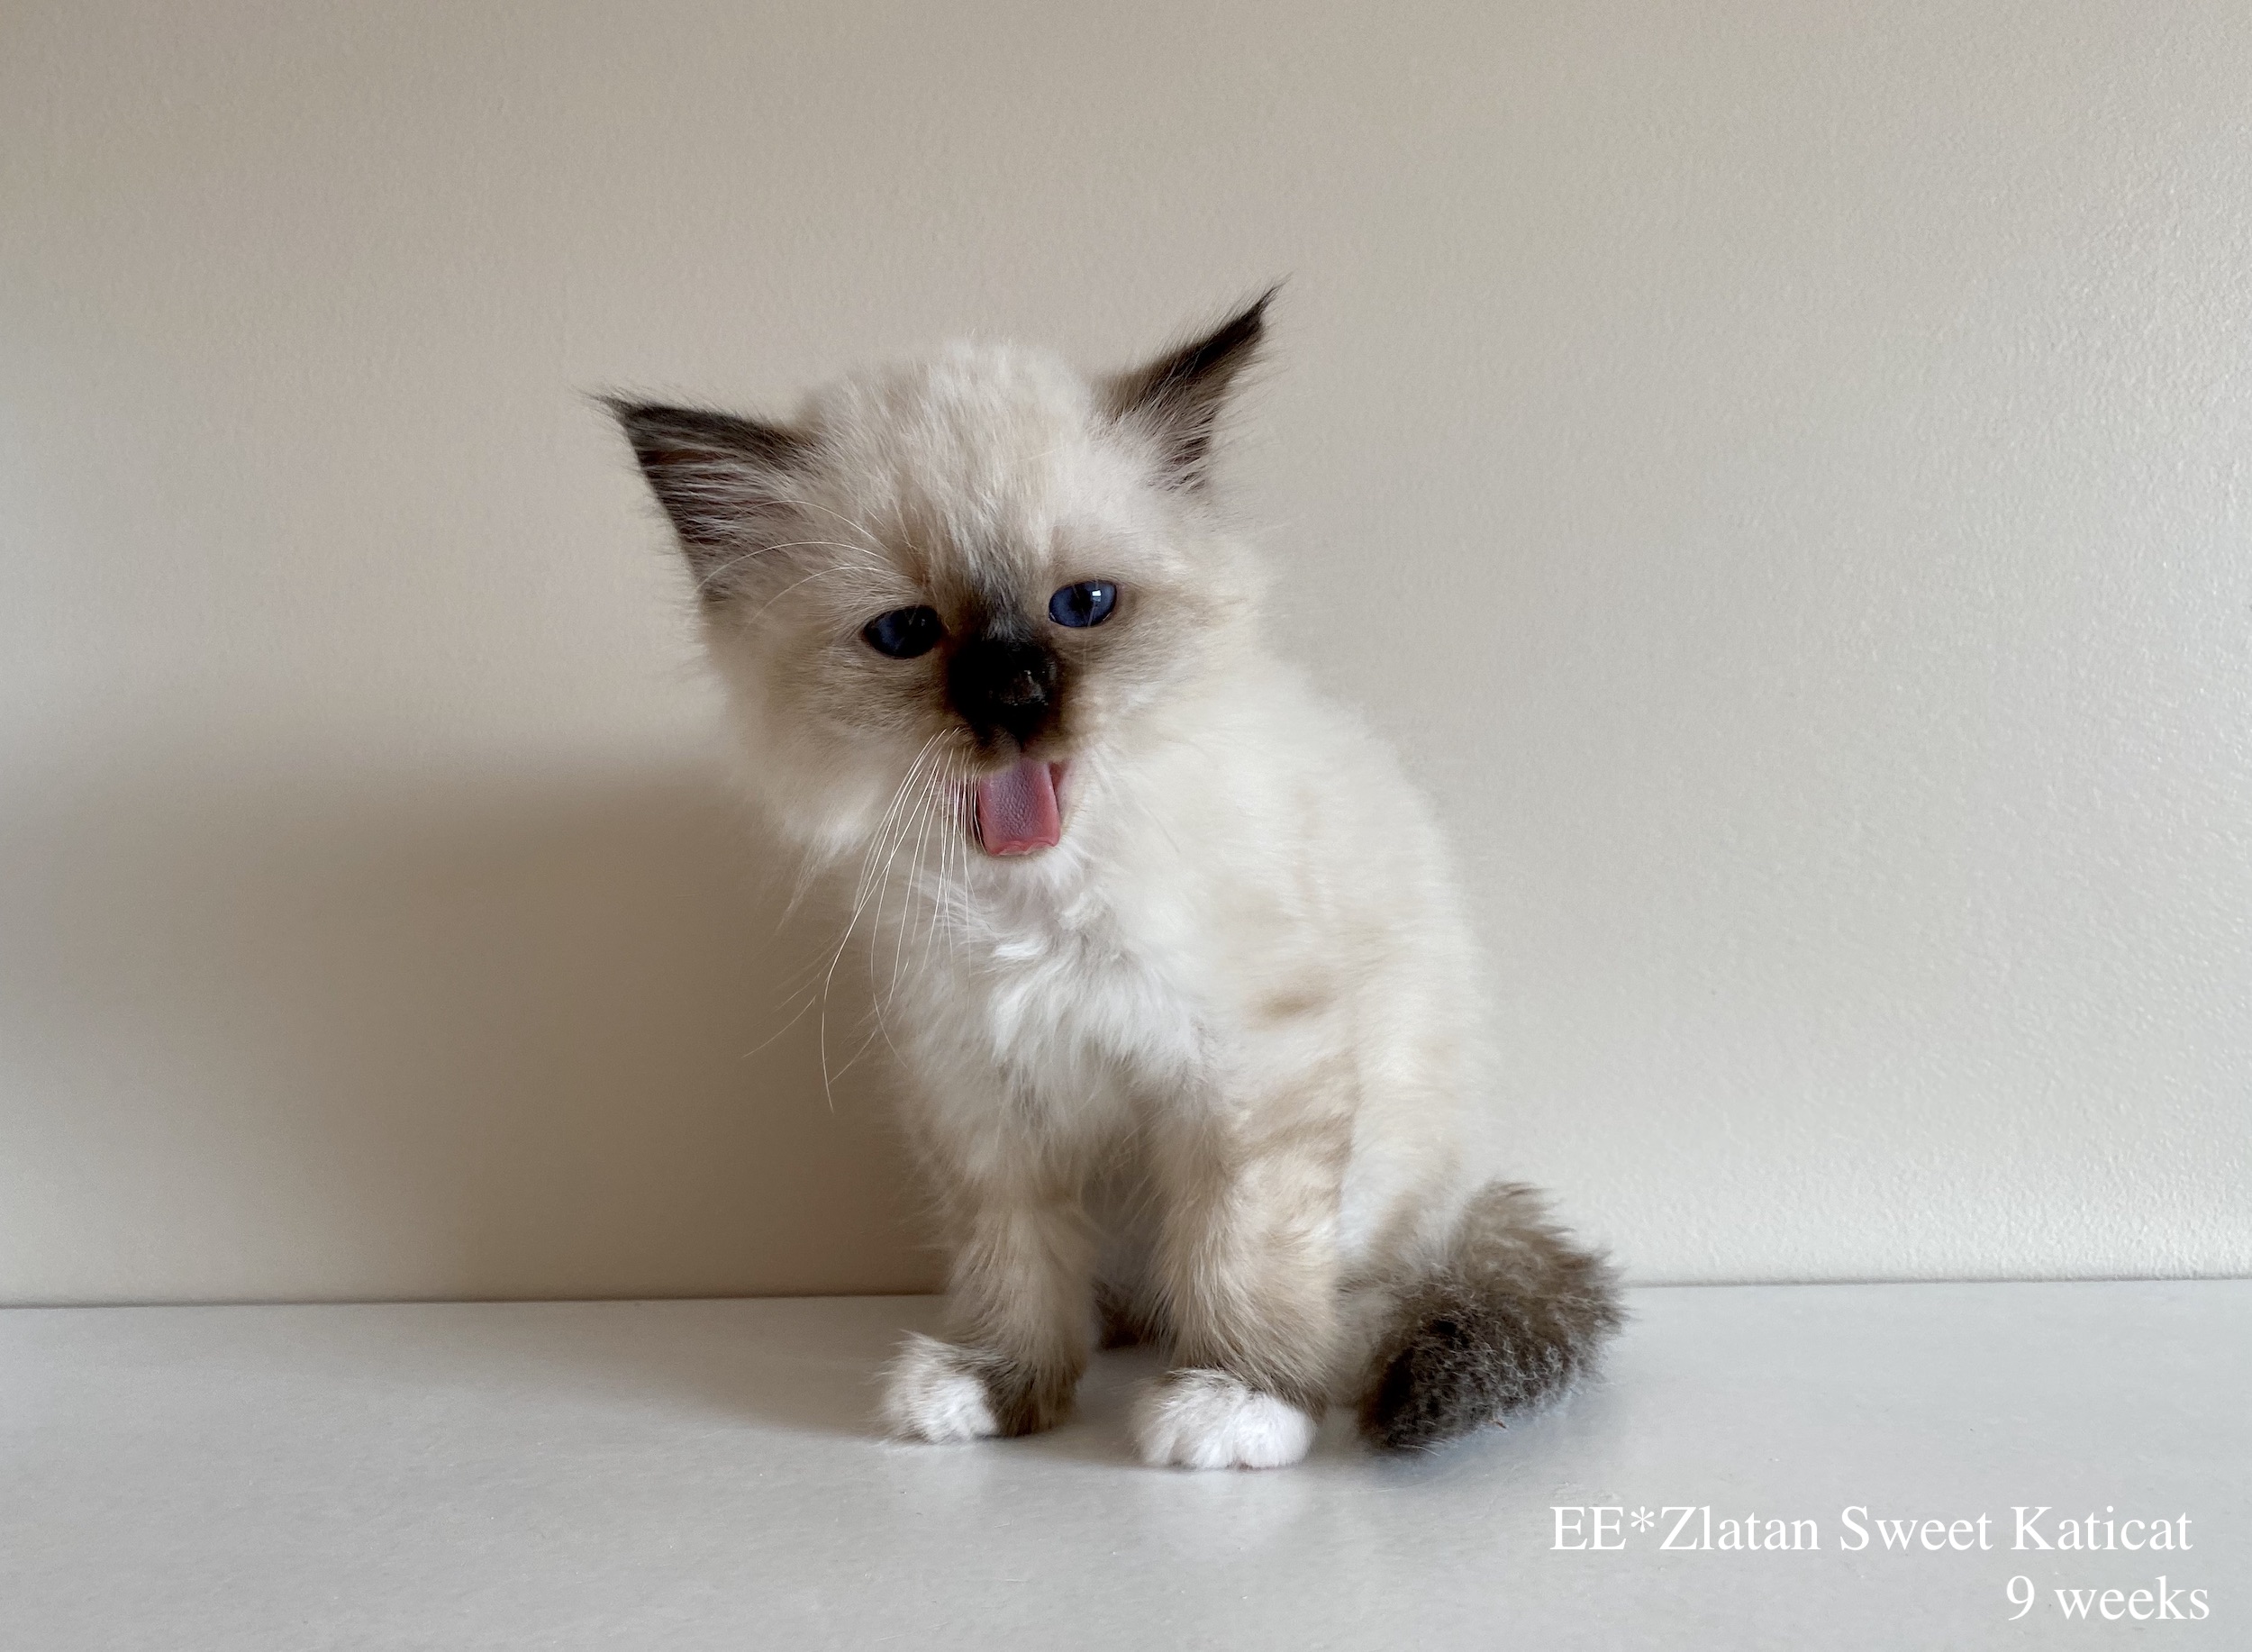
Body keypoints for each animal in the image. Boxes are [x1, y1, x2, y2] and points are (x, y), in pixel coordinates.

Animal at [610, 293, 1620, 1468]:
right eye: (906, 633)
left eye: (1082, 606)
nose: (1014, 690)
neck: (1044, 901)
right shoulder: (981, 1095)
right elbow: (1014, 1266)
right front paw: (1000, 1384)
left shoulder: (1251, 1071)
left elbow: (1243, 1252)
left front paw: (1239, 1396)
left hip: (1392, 1171)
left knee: (1373, 1286)